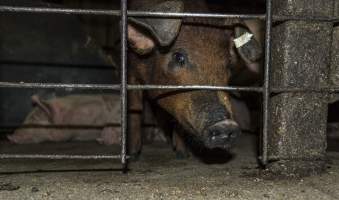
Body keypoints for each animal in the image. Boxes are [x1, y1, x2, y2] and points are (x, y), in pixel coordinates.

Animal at [125, 0, 262, 158]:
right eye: (178, 57)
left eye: (228, 65)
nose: (227, 125)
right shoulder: (131, 70)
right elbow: (135, 109)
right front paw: (133, 155)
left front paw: (182, 155)